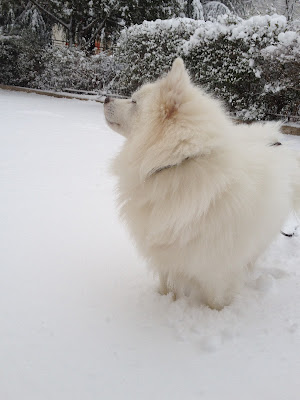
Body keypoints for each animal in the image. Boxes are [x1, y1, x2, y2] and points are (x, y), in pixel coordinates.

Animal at [103, 57, 300, 310]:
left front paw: (215, 314)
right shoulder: (166, 253)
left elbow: (214, 300)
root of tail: (273, 139)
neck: (178, 164)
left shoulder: (215, 267)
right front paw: (166, 302)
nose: (106, 98)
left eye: (134, 101)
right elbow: (167, 285)